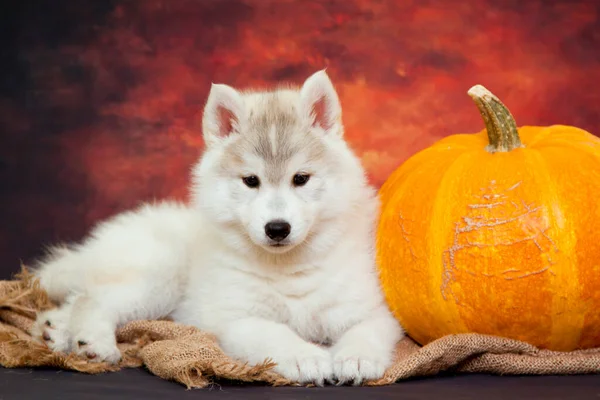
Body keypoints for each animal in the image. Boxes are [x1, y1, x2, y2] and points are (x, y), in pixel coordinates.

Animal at [29, 70, 404, 386]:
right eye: (251, 181)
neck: (286, 268)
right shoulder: (235, 318)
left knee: (77, 297)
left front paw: (355, 358)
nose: (277, 228)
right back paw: (93, 342)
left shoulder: (373, 309)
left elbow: (366, 330)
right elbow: (275, 334)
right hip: (159, 276)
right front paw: (305, 357)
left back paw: (55, 331)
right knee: (92, 298)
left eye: (301, 179)